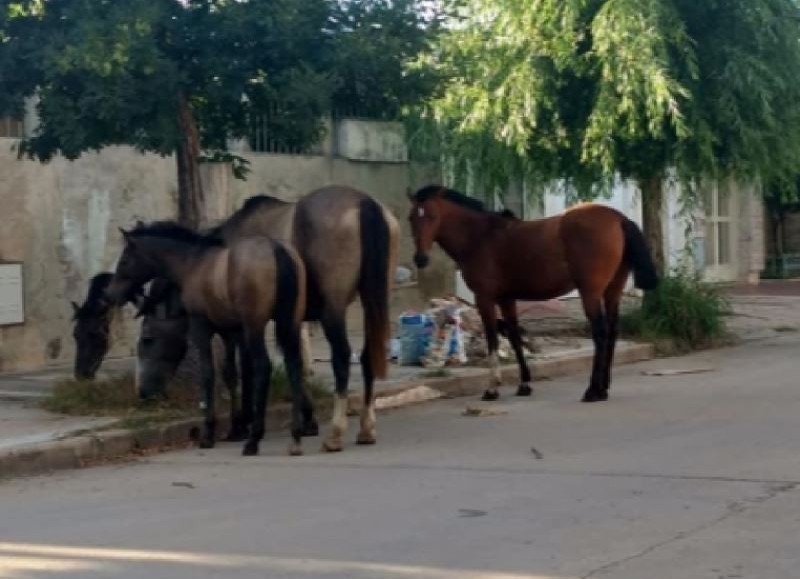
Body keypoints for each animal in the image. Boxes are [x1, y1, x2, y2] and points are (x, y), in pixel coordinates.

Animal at [105, 222, 316, 458]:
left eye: (124, 261)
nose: (109, 294)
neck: (191, 265)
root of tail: (276, 249)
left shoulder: (202, 328)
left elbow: (208, 373)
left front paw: (209, 433)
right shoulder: (230, 332)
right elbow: (231, 374)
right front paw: (235, 428)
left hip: (256, 326)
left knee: (264, 366)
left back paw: (254, 439)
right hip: (289, 322)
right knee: (294, 365)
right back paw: (295, 435)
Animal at [410, 186, 660, 404]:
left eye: (431, 216)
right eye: (412, 218)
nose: (420, 259)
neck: (480, 236)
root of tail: (618, 218)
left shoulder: (485, 299)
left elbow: (493, 338)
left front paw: (492, 388)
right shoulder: (506, 299)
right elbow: (514, 336)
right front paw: (524, 384)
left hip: (590, 292)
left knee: (600, 333)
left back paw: (593, 390)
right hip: (612, 291)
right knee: (612, 331)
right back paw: (604, 388)